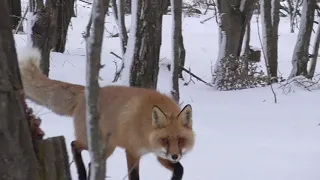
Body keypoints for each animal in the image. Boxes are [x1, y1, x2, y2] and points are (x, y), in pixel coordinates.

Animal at [17, 46, 195, 180]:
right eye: (165, 140)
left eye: (181, 140)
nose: (175, 156)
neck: (145, 127)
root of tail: (85, 92)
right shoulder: (132, 151)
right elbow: (134, 176)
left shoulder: (160, 154)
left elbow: (180, 169)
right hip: (98, 143)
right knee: (74, 145)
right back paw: (82, 174)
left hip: (107, 148)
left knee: (91, 163)